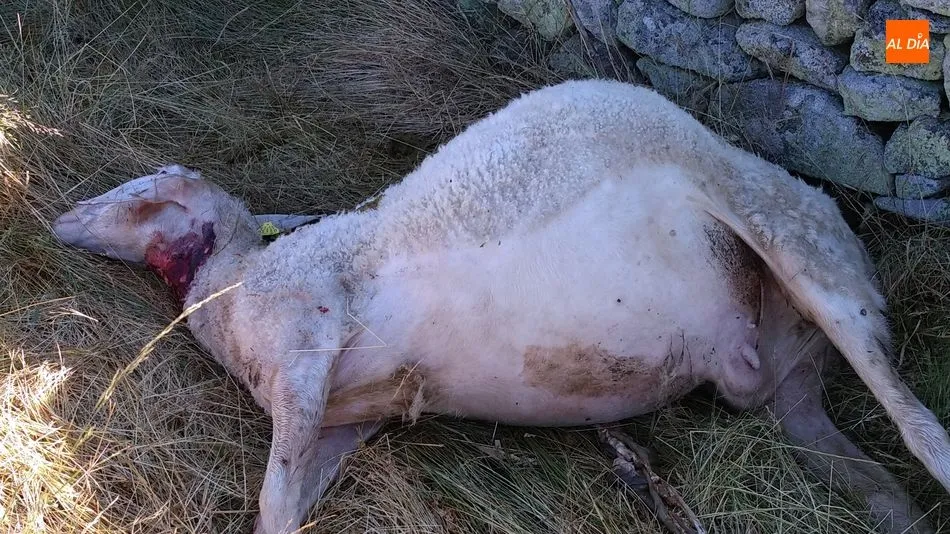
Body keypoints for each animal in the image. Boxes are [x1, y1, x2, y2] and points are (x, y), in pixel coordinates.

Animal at [52, 79, 950, 534]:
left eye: (135, 191)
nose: (59, 220)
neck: (233, 281)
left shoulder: (310, 333)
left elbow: (271, 501)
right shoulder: (341, 421)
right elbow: (290, 503)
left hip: (795, 247)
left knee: (919, 427)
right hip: (787, 378)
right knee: (857, 460)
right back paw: (889, 508)